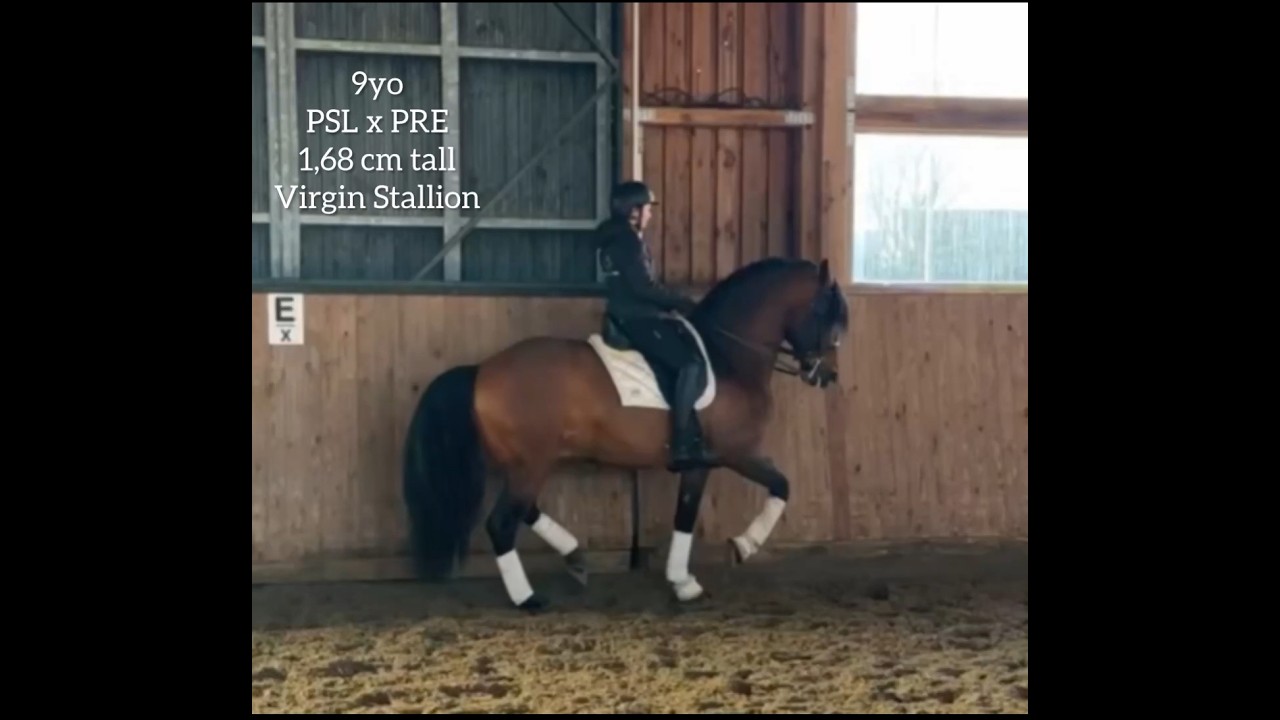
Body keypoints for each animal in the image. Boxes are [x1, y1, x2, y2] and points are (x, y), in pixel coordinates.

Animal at [402, 256, 849, 610]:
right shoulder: (729, 454)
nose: (827, 375)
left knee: (525, 511)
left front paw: (687, 576)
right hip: (530, 464)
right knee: (501, 524)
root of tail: (481, 370)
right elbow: (769, 490)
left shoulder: (717, 459)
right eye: (829, 321)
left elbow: (732, 501)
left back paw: (575, 557)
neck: (728, 357)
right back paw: (527, 598)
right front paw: (734, 552)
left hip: (522, 463)